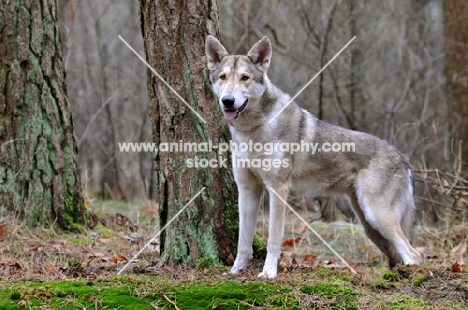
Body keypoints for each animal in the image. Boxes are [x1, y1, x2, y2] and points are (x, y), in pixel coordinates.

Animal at [204, 35, 420, 278]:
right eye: (223, 77)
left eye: (245, 77)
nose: (228, 101)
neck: (253, 130)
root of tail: (403, 157)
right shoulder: (248, 190)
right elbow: (243, 242)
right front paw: (235, 271)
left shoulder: (278, 190)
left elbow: (273, 240)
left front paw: (268, 274)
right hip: (370, 226)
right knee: (399, 253)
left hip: (376, 216)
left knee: (413, 254)